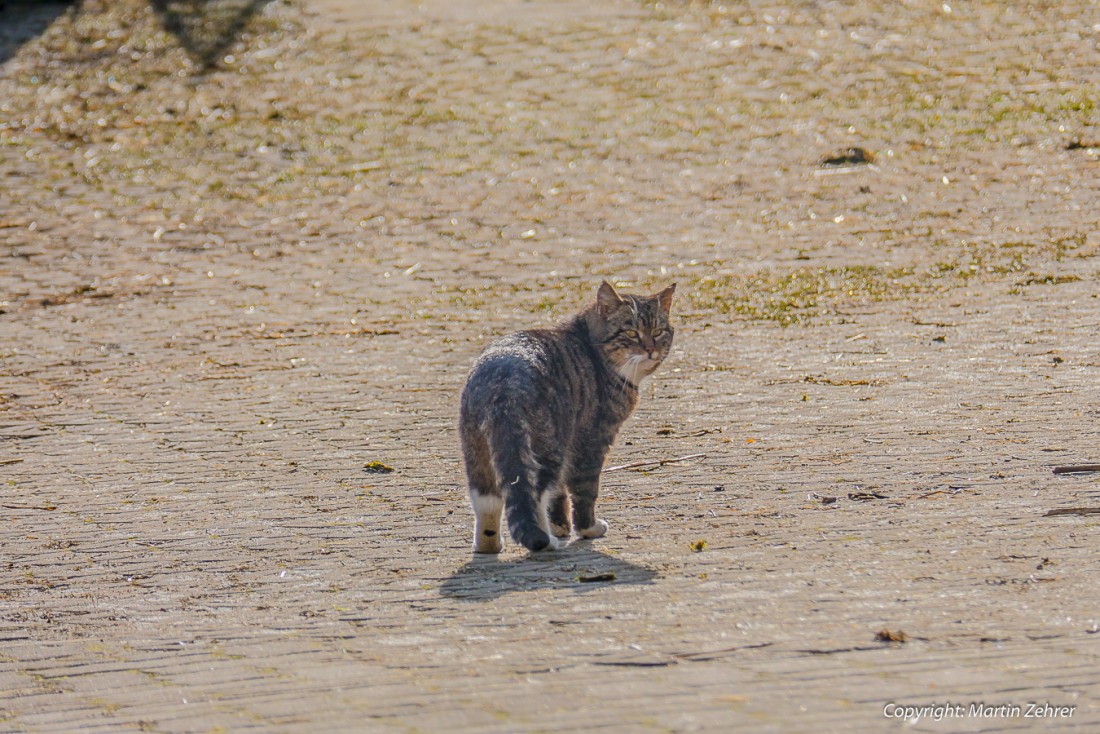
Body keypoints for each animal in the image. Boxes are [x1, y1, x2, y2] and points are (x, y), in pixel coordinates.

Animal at [457, 279, 677, 550]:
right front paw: (587, 528)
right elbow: (584, 491)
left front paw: (560, 527)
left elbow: (559, 494)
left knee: (488, 500)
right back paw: (546, 541)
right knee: (533, 493)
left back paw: (491, 545)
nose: (650, 349)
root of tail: (504, 382)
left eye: (657, 332)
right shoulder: (592, 439)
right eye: (631, 332)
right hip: (549, 446)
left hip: (478, 451)